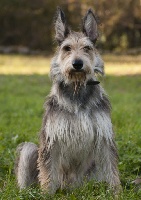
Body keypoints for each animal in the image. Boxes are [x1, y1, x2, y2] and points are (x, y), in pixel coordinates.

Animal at [14, 7, 120, 194]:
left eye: (87, 48)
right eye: (67, 48)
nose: (77, 63)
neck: (77, 87)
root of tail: (71, 187)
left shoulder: (104, 136)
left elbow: (112, 169)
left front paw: (116, 193)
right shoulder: (52, 139)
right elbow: (48, 172)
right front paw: (46, 195)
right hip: (29, 150)